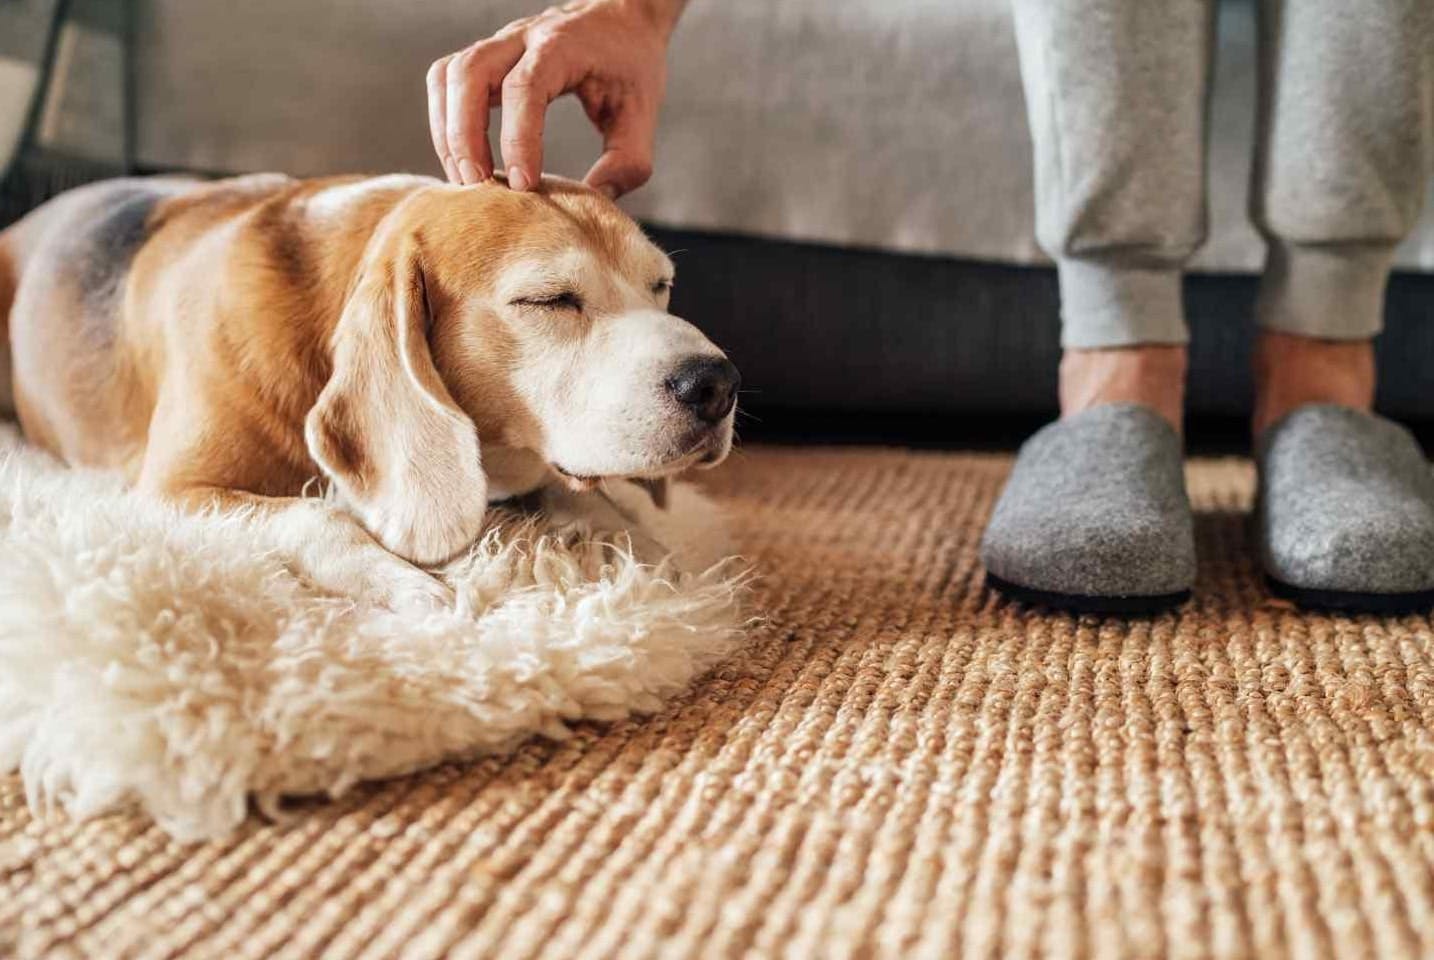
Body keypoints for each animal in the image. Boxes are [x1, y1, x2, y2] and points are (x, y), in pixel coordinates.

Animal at [0, 172, 739, 602]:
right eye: (549, 300)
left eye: (660, 286)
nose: (717, 384)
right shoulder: (172, 491)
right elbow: (313, 514)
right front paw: (405, 583)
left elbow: (583, 499)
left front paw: (645, 549)